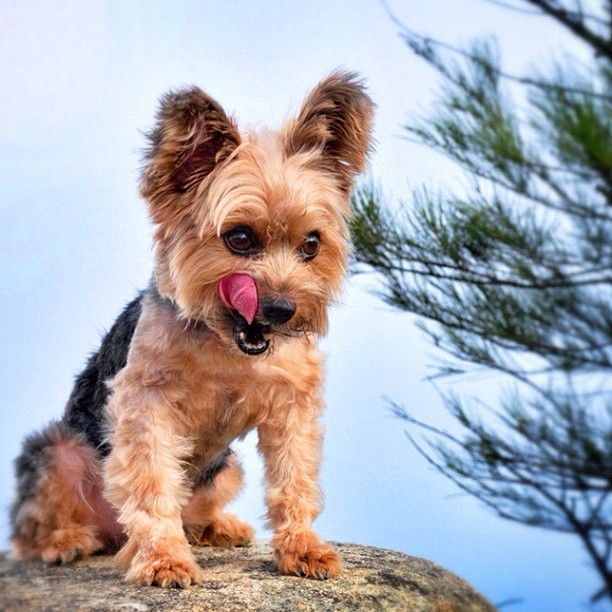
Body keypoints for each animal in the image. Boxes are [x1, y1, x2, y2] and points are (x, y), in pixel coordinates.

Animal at [10, 70, 372, 588]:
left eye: (311, 244)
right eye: (239, 238)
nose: (282, 309)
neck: (227, 346)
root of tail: (112, 536)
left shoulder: (292, 406)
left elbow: (294, 479)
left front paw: (302, 547)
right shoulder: (146, 405)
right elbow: (152, 484)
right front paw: (164, 560)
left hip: (226, 469)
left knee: (194, 508)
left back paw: (215, 527)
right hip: (58, 451)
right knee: (39, 523)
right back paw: (68, 541)